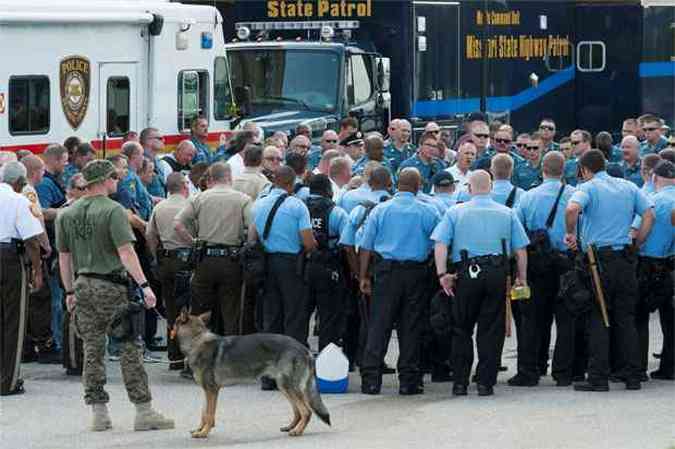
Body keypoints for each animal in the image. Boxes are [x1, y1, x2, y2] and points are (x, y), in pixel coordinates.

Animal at [173, 308, 332, 438]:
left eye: (174, 323)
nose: (170, 329)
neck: (196, 339)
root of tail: (305, 349)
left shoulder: (212, 391)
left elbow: (209, 414)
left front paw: (204, 433)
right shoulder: (207, 391)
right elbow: (204, 413)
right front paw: (199, 430)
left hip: (288, 387)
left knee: (306, 411)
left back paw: (297, 431)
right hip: (284, 387)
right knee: (298, 411)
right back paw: (291, 427)